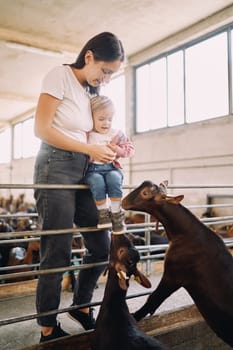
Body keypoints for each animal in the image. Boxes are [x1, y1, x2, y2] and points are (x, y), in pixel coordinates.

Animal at [121, 180, 233, 348]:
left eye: (146, 193)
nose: (123, 201)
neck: (185, 233)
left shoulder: (174, 274)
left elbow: (154, 297)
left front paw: (135, 316)